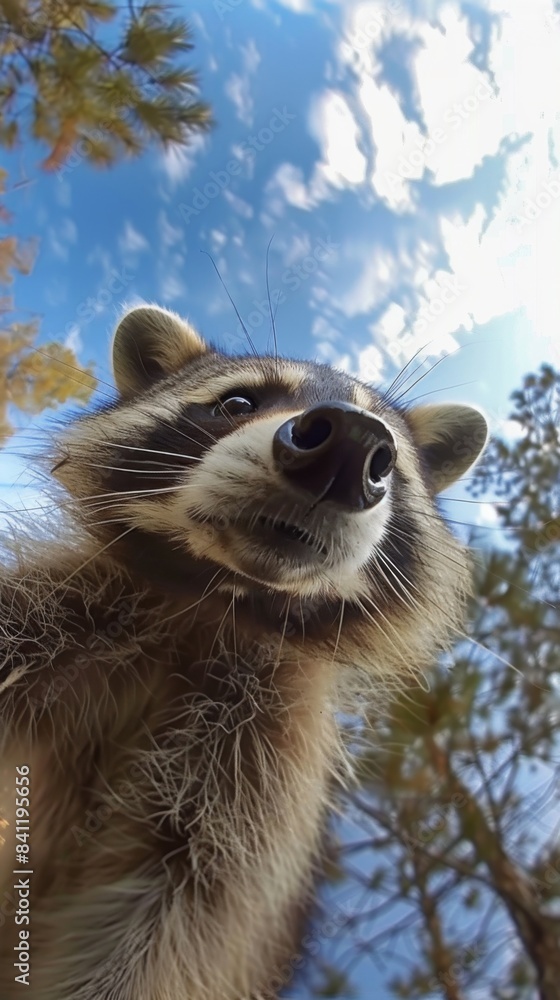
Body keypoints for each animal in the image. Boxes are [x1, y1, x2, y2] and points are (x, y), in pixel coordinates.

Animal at [0, 306, 486, 1000]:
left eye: (390, 455)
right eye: (237, 402)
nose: (351, 442)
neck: (217, 605)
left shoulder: (256, 788)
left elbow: (170, 936)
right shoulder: (58, 613)